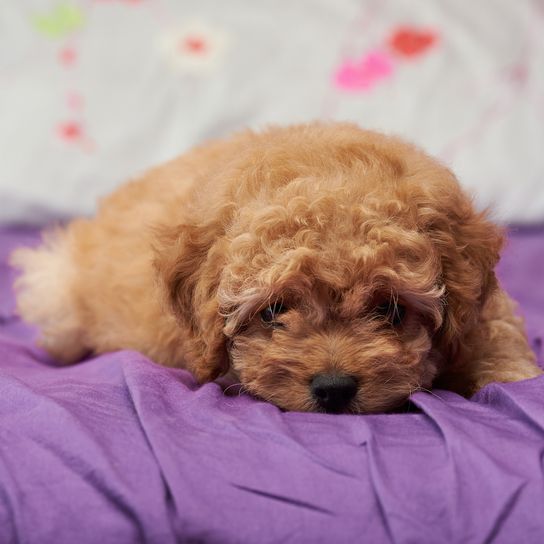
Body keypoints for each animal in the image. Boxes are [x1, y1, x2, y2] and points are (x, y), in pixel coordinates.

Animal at [10, 122, 540, 412]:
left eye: (390, 310)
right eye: (272, 312)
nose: (333, 389)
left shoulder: (484, 310)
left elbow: (499, 349)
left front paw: (510, 380)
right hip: (55, 291)